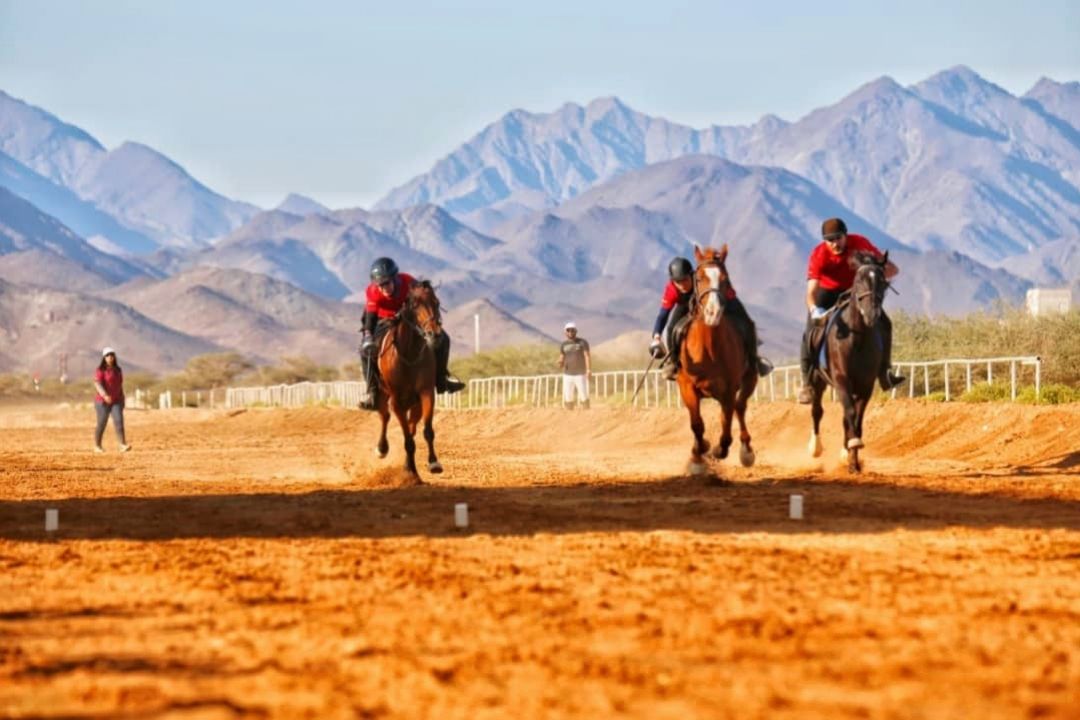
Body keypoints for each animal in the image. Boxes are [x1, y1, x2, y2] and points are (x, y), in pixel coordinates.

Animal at [374, 279, 443, 478]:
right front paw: (412, 473)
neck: (409, 353)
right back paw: (382, 448)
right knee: (385, 417)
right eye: (414, 305)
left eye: (436, 303)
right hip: (383, 394)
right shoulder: (396, 401)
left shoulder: (426, 393)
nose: (435, 334)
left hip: (414, 404)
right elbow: (407, 439)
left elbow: (427, 431)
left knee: (412, 427)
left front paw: (433, 463)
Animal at [676, 244, 758, 476]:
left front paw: (716, 450)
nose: (713, 312)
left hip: (750, 378)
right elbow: (697, 424)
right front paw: (698, 454)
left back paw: (746, 451)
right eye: (699, 278)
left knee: (740, 406)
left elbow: (726, 428)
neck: (708, 350)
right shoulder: (686, 386)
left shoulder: (728, 390)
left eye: (725, 279)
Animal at [806, 251, 891, 472]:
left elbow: (856, 418)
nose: (872, 314)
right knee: (817, 411)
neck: (858, 337)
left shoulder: (866, 385)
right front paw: (852, 447)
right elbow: (851, 413)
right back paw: (815, 447)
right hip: (818, 381)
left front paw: (853, 460)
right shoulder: (842, 379)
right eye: (859, 279)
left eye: (882, 281)